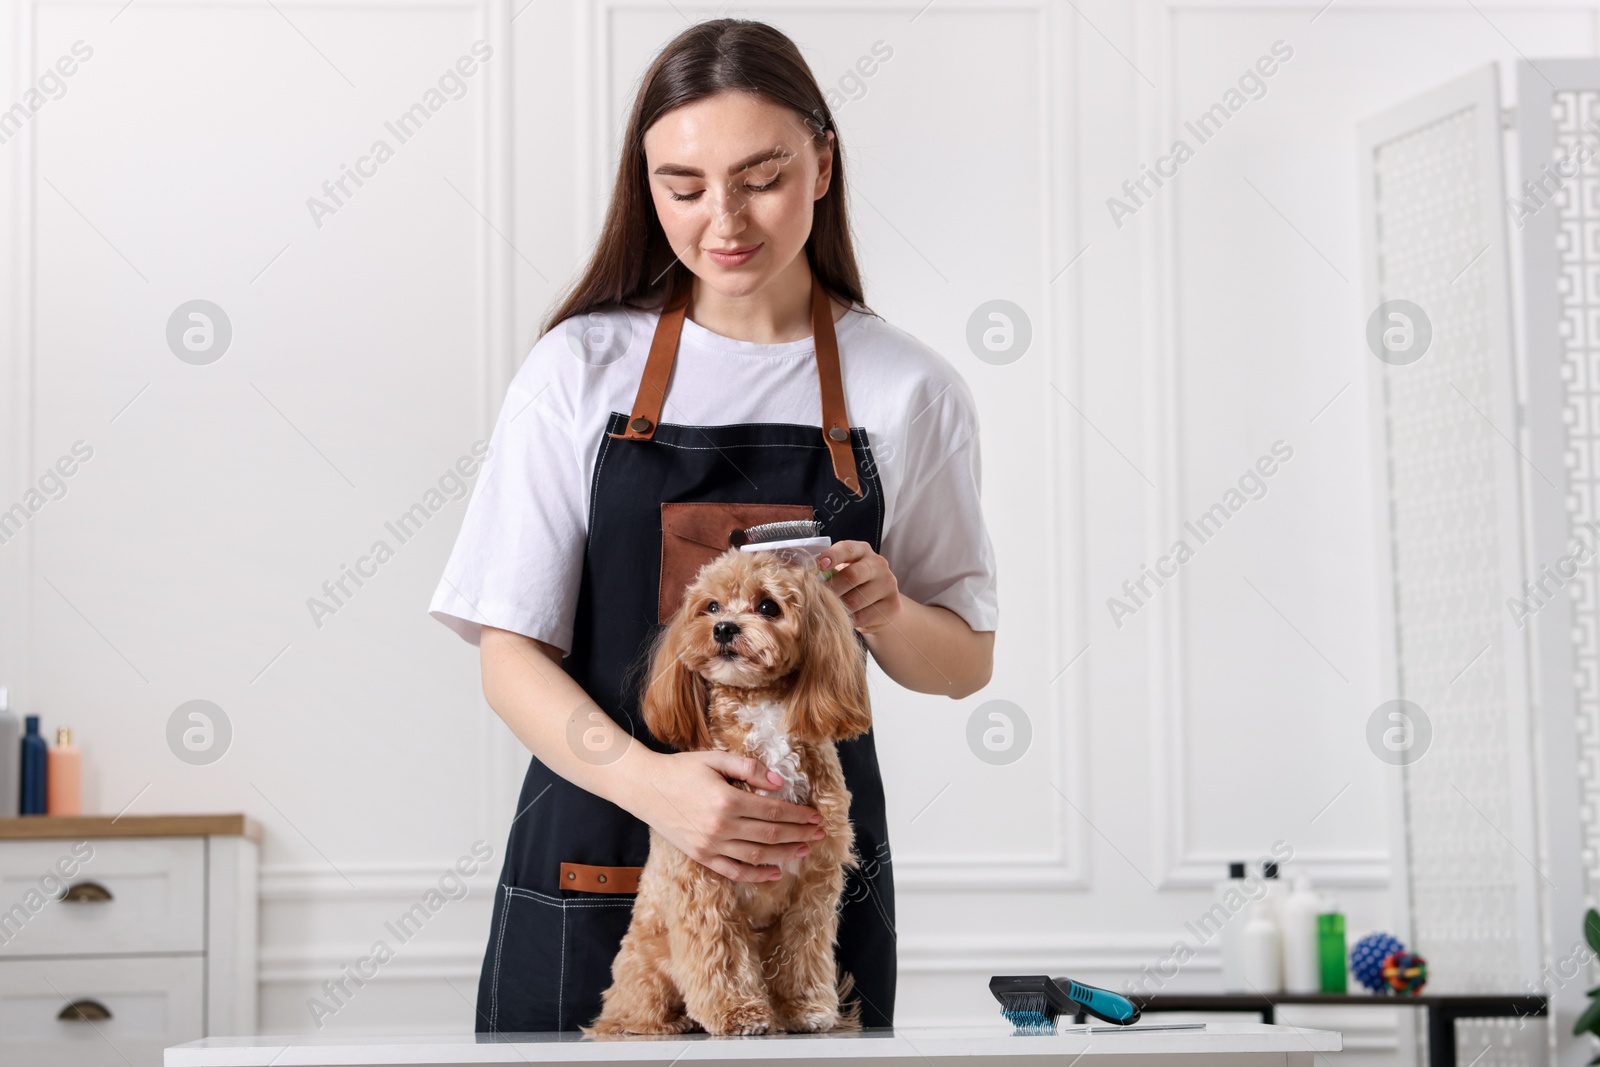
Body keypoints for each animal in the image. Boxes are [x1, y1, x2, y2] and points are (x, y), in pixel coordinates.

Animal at [585, 543, 870, 1036]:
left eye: (768, 607)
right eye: (712, 606)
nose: (723, 628)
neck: (762, 714)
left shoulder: (814, 882)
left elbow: (803, 949)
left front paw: (805, 1008)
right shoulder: (705, 882)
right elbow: (719, 953)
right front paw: (738, 1012)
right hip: (648, 958)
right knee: (633, 1006)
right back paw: (657, 1023)